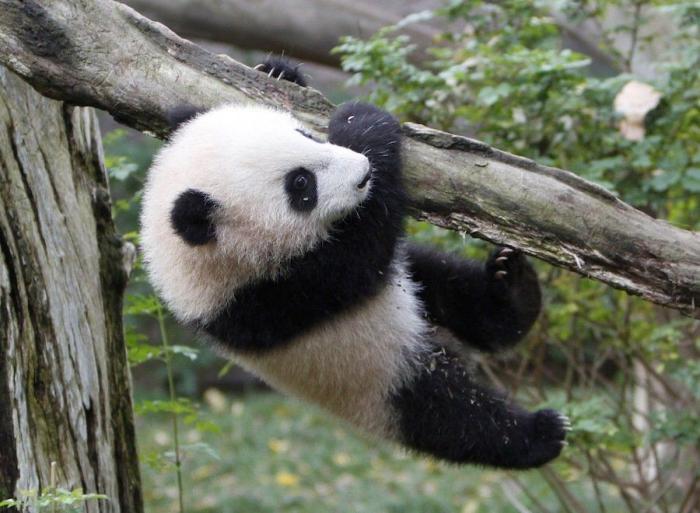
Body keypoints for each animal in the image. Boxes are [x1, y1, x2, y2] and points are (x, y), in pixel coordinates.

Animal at [140, 59, 569, 470]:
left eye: (305, 136)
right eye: (301, 185)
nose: (362, 171)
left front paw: (279, 72)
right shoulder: (270, 296)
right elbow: (364, 247)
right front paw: (366, 126)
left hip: (413, 288)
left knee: (458, 294)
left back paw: (513, 288)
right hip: (378, 379)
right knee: (453, 419)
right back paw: (540, 433)